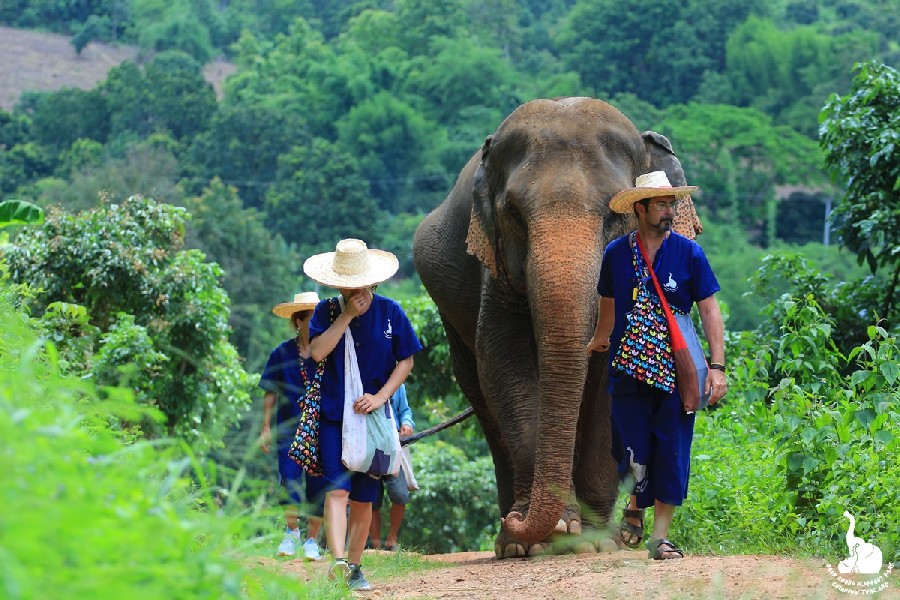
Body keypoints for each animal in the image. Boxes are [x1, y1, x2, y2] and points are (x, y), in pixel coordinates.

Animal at [412, 96, 700, 560]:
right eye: (514, 214)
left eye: (615, 214)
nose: (519, 524)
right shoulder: (494, 274)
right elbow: (503, 361)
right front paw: (545, 534)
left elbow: (611, 379)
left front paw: (593, 542)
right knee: (482, 395)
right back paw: (511, 540)